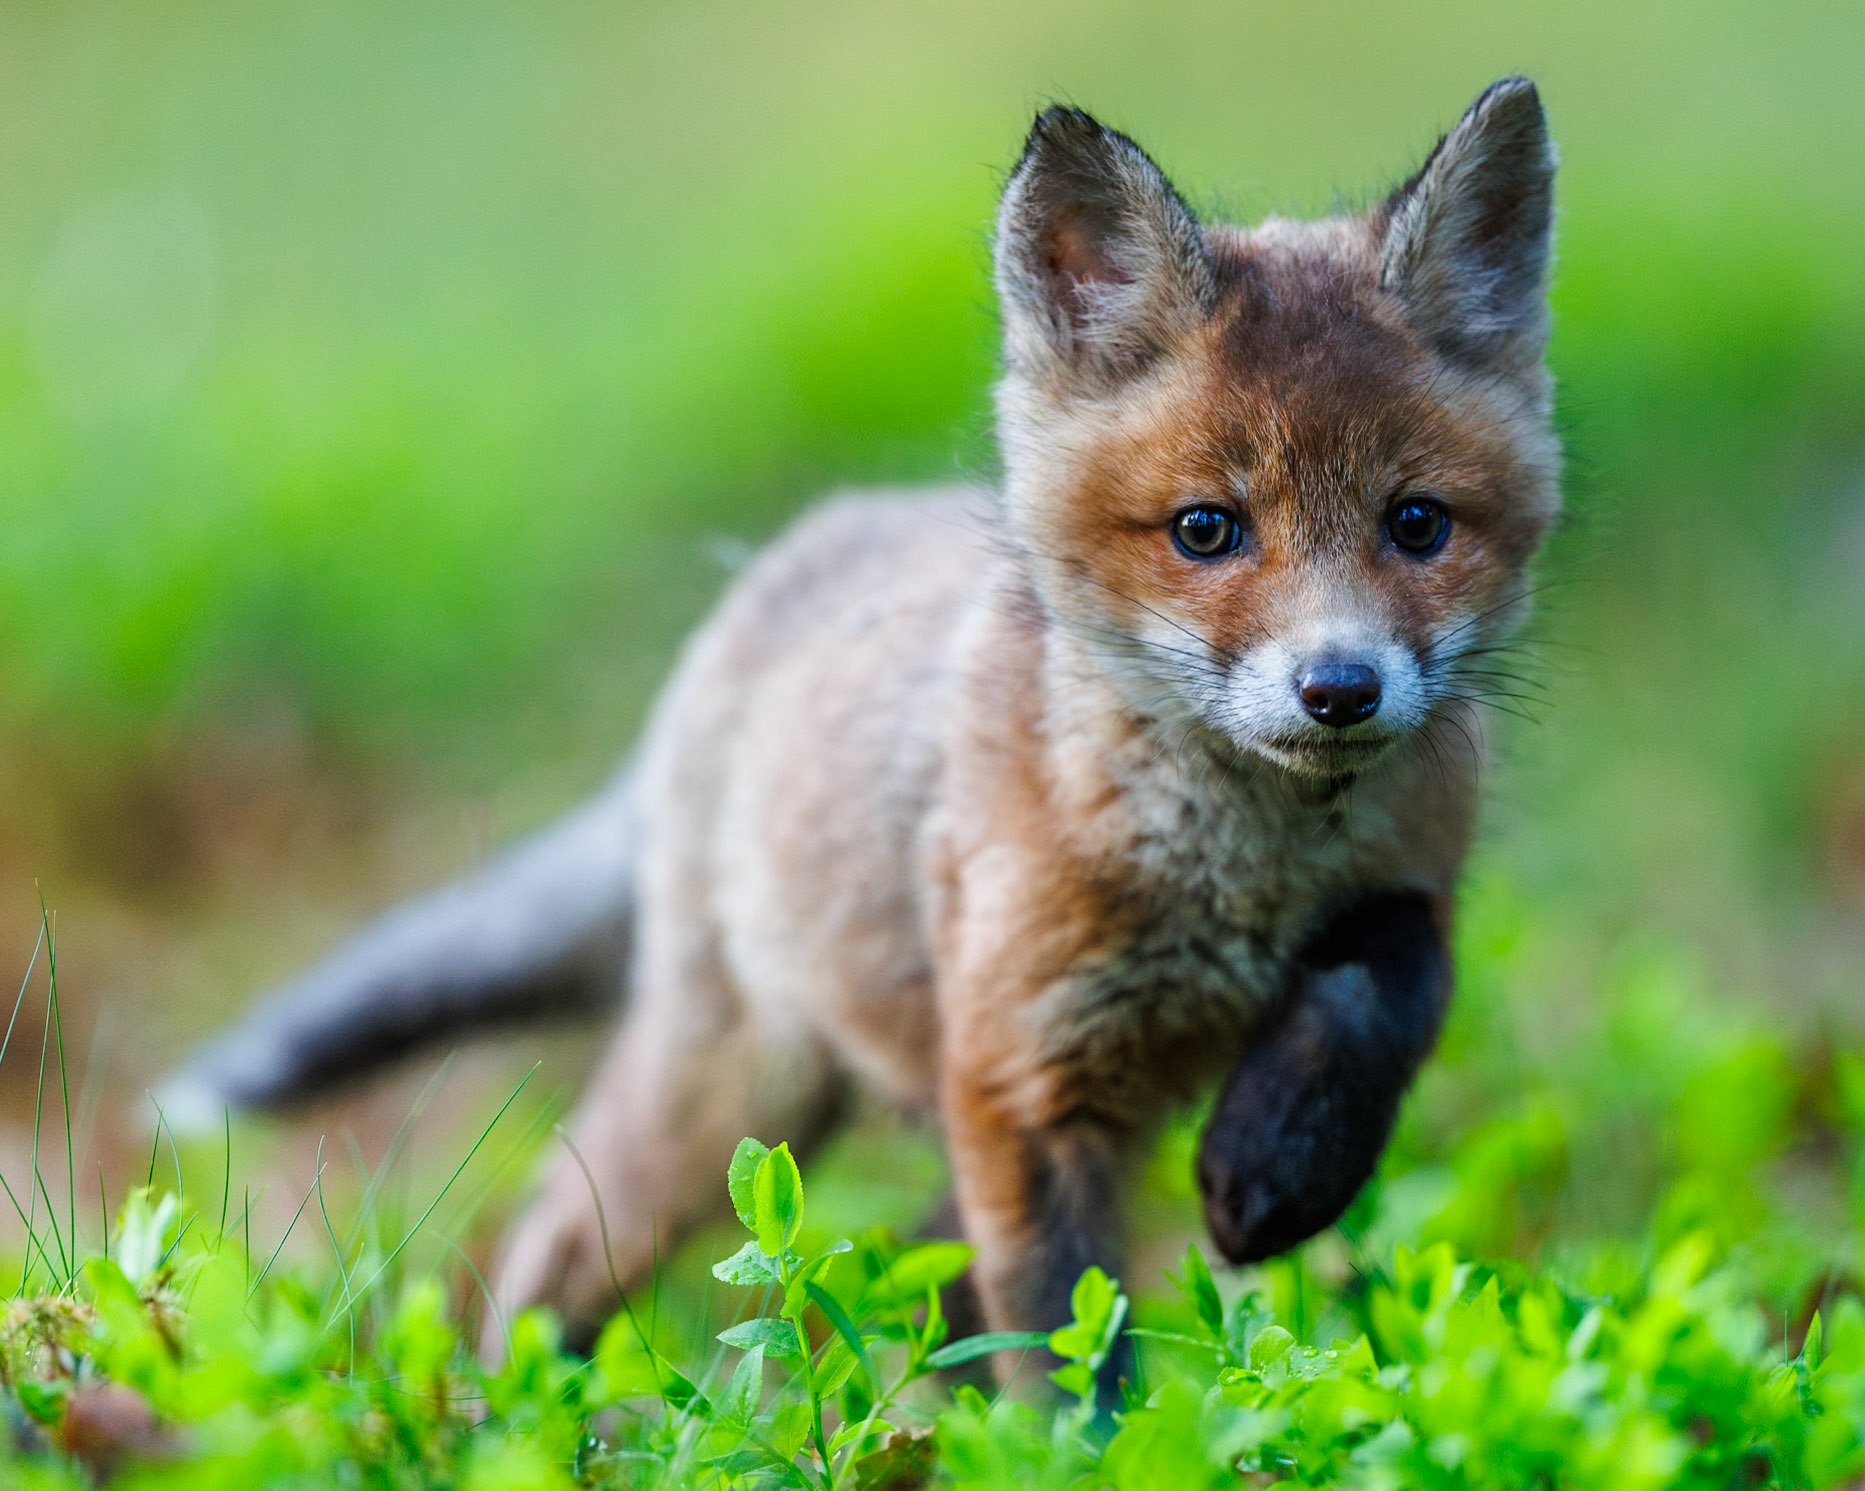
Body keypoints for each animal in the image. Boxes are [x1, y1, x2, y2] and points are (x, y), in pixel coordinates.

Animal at [166, 77, 1559, 1379]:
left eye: (1417, 524)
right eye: (1205, 530)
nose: (1339, 689)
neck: (1243, 886)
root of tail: (775, 572)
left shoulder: (1407, 885)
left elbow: (1396, 969)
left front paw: (1280, 1163)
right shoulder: (1020, 1081)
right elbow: (1061, 1346)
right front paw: (1079, 1449)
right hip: (732, 1093)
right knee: (555, 1238)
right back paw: (523, 1416)